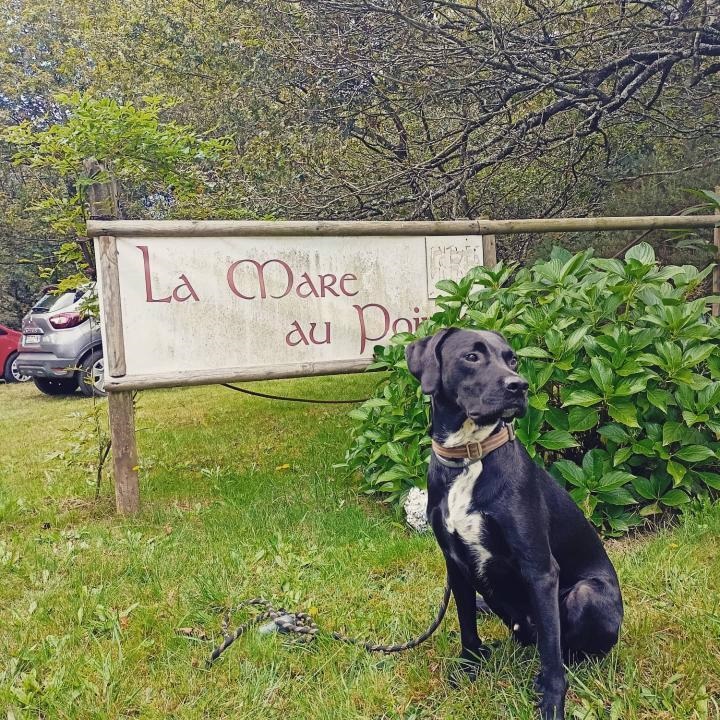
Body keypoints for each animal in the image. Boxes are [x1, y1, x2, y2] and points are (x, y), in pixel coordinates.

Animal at [404, 330, 624, 720]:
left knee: (564, 648)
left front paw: (552, 702)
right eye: (472, 356)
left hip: (586, 594)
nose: (518, 385)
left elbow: (551, 653)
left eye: (513, 359)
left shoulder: (539, 569)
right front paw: (469, 668)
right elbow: (466, 624)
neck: (469, 457)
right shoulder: (456, 565)